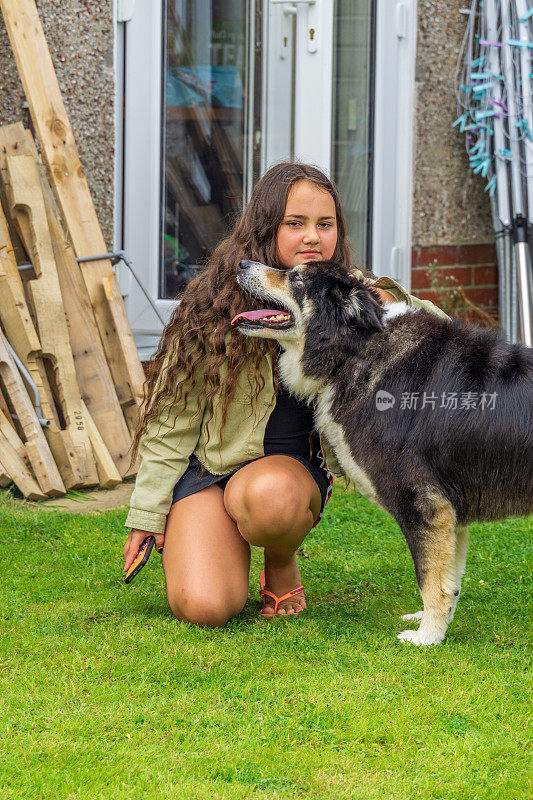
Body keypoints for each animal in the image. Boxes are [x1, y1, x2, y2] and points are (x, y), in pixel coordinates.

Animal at [230, 260, 532, 648]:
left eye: (295, 277)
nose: (242, 264)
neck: (357, 348)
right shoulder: (451, 511)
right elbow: (450, 580)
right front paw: (435, 624)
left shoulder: (424, 503)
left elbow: (430, 579)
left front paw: (427, 637)